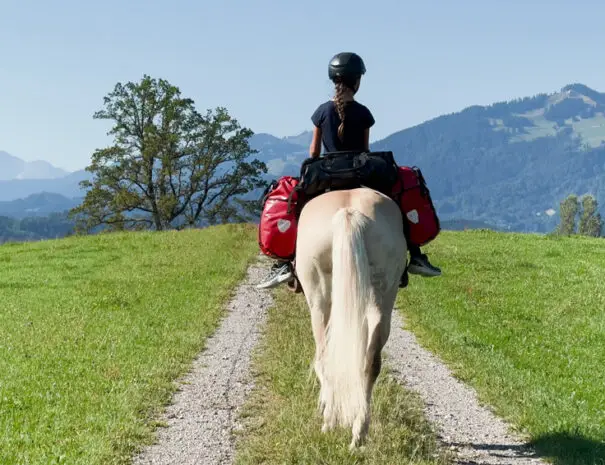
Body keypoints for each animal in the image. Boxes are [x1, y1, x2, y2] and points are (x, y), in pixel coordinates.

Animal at [294, 186, 406, 450]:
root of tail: (349, 213)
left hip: (319, 298)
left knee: (325, 358)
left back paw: (329, 422)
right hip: (384, 292)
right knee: (370, 361)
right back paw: (359, 432)